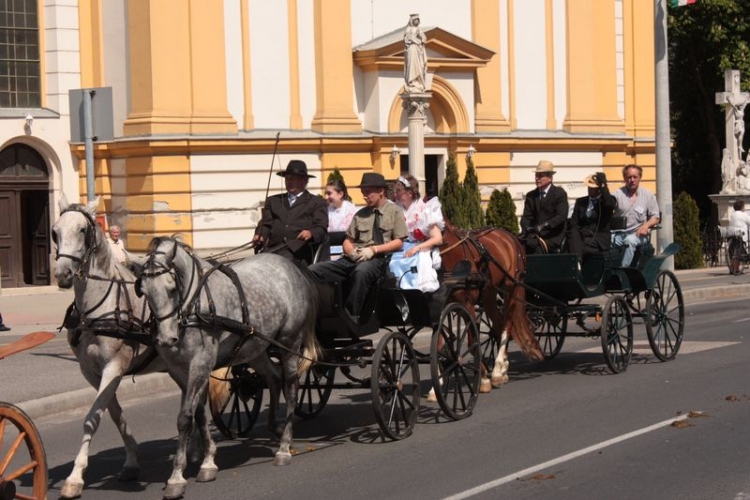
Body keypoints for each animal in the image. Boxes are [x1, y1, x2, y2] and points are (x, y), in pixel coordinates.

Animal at [51, 194, 163, 496]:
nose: (63, 274)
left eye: (82, 230)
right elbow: (113, 413)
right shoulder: (92, 372)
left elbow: (92, 418)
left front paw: (75, 477)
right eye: (55, 231)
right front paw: (132, 461)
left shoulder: (115, 365)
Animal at [134, 237, 320, 500]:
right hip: (256, 348)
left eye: (171, 288)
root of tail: (291, 267)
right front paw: (207, 462)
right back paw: (274, 426)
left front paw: (176, 477)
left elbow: (185, 418)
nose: (166, 339)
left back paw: (284, 445)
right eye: (145, 291)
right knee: (274, 379)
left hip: (289, 342)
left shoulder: (200, 363)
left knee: (291, 388)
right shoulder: (179, 370)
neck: (194, 306)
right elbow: (199, 414)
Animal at [438, 221, 544, 388]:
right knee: (499, 324)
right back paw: (502, 367)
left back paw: (498, 369)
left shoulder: (468, 304)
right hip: (489, 293)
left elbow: (473, 342)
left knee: (507, 324)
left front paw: (482, 378)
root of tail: (511, 236)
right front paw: (437, 384)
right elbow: (438, 344)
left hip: (511, 288)